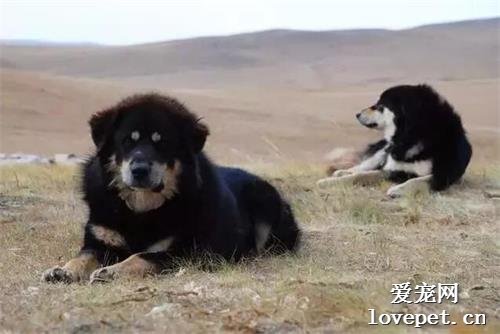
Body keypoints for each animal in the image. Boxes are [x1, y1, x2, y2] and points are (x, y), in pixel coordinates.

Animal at [43, 94, 300, 284]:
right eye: (127, 140)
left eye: (162, 142)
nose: (139, 170)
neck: (141, 209)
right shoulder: (99, 242)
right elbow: (82, 257)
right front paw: (64, 270)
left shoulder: (184, 250)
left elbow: (142, 256)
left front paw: (113, 271)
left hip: (265, 205)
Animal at [318, 85, 470, 197]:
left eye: (380, 106)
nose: (357, 114)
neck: (411, 135)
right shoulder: (392, 169)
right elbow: (361, 175)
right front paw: (328, 182)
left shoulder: (442, 175)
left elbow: (418, 180)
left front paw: (398, 189)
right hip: (383, 151)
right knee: (361, 167)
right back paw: (342, 172)